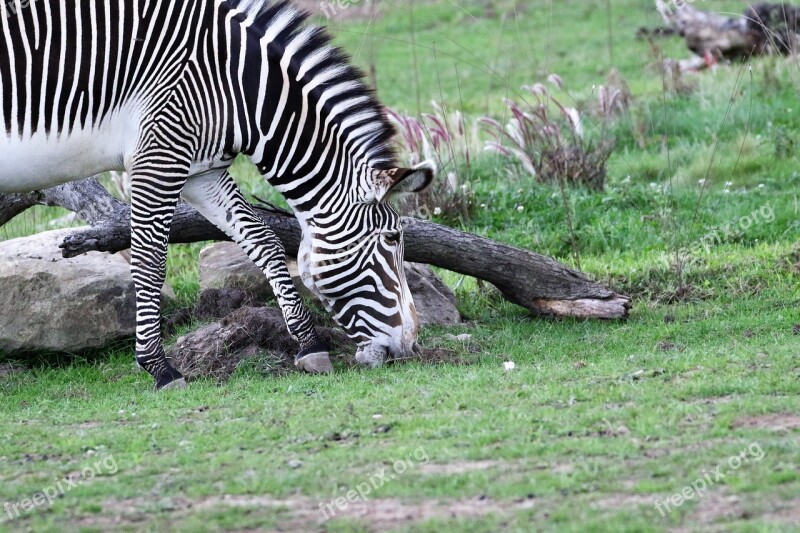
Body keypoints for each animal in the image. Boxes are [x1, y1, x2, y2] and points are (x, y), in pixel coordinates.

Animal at [0, 1, 434, 390]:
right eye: (392, 239)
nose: (410, 346)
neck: (239, 89)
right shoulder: (158, 154)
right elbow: (150, 261)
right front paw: (160, 368)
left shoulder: (200, 171)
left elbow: (265, 241)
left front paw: (309, 346)